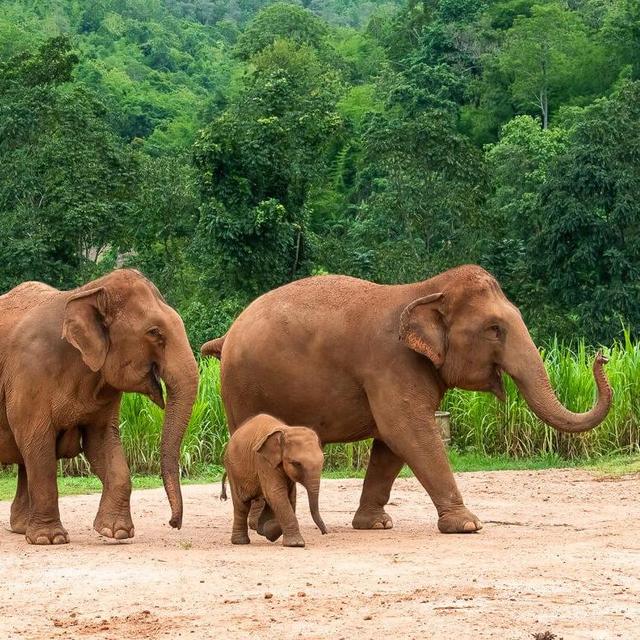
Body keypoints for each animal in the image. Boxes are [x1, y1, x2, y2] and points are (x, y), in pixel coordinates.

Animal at [0, 269, 198, 545]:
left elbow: (103, 443)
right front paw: (50, 539)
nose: (173, 523)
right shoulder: (29, 373)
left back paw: (20, 528)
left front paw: (116, 532)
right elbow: (37, 444)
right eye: (154, 332)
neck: (85, 292)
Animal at [221, 413, 327, 547]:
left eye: (322, 462)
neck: (286, 430)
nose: (325, 532)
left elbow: (289, 496)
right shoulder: (263, 461)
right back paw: (241, 542)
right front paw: (295, 544)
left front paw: (267, 530)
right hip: (232, 469)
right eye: (296, 464)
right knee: (241, 504)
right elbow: (276, 493)